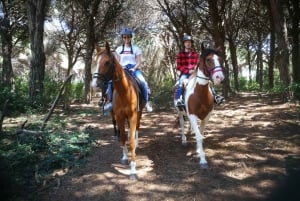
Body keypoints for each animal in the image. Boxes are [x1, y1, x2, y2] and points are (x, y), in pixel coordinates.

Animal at [91, 42, 145, 179]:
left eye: (107, 62)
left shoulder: (132, 116)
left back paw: (138, 143)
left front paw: (133, 170)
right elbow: (123, 138)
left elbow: (131, 141)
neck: (124, 92)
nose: (94, 84)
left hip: (139, 113)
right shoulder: (120, 117)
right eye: (96, 61)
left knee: (137, 128)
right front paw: (125, 157)